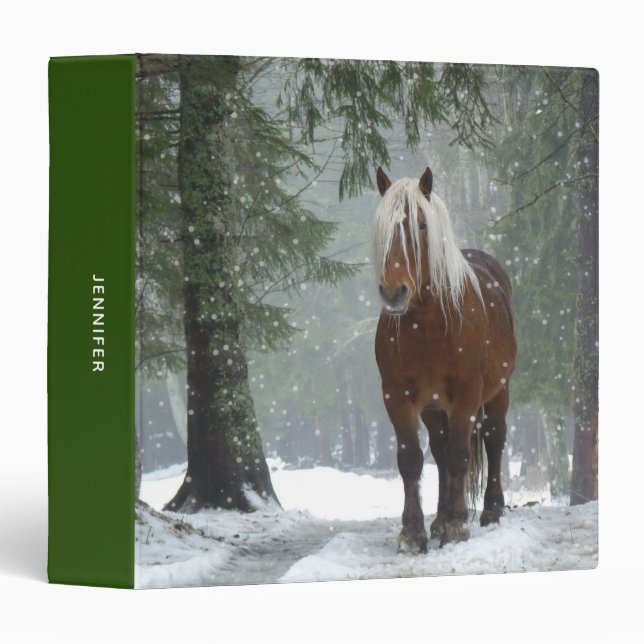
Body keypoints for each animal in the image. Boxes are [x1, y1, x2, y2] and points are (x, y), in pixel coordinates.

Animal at [373, 167, 517, 552]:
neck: (428, 324)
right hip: (434, 407)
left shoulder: (467, 393)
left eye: (421, 225)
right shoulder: (397, 396)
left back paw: (489, 511)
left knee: (493, 440)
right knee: (438, 451)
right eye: (382, 227)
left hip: (498, 391)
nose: (393, 292)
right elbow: (411, 459)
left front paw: (457, 525)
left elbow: (459, 455)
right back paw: (437, 519)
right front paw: (413, 532)